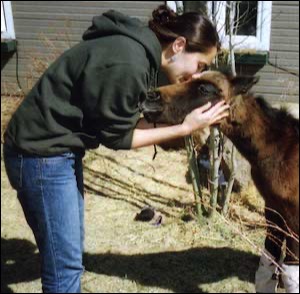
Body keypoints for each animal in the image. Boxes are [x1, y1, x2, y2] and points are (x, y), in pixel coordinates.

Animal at [139, 70, 298, 292]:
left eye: (205, 89)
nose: (150, 97)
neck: (281, 150)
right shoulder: (273, 207)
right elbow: (267, 266)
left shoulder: (294, 214)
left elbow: (290, 273)